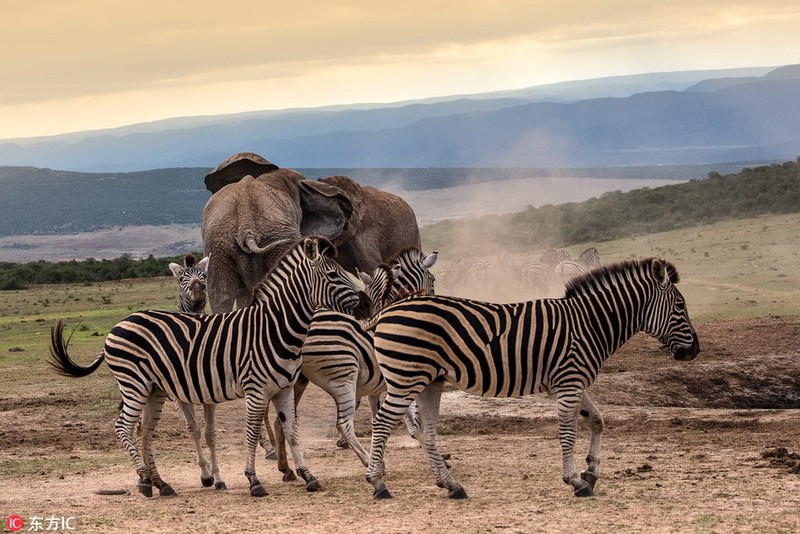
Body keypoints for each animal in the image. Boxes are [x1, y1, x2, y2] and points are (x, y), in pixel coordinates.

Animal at [50, 237, 362, 500]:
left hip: (154, 390)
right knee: (123, 427)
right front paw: (253, 481)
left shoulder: (283, 389)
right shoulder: (255, 390)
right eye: (333, 275)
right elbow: (251, 433)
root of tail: (119, 323)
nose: (364, 303)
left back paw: (161, 483)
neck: (275, 328)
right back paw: (144, 480)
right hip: (134, 385)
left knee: (145, 433)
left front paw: (307, 475)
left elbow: (292, 431)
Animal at [364, 260, 700, 502]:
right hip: (406, 378)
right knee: (382, 423)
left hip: (429, 381)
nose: (695, 350)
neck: (589, 324)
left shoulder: (570, 383)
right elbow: (568, 435)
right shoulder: (568, 383)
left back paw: (451, 485)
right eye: (680, 307)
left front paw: (591, 470)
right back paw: (378, 484)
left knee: (427, 432)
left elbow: (598, 420)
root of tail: (386, 311)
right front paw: (576, 481)